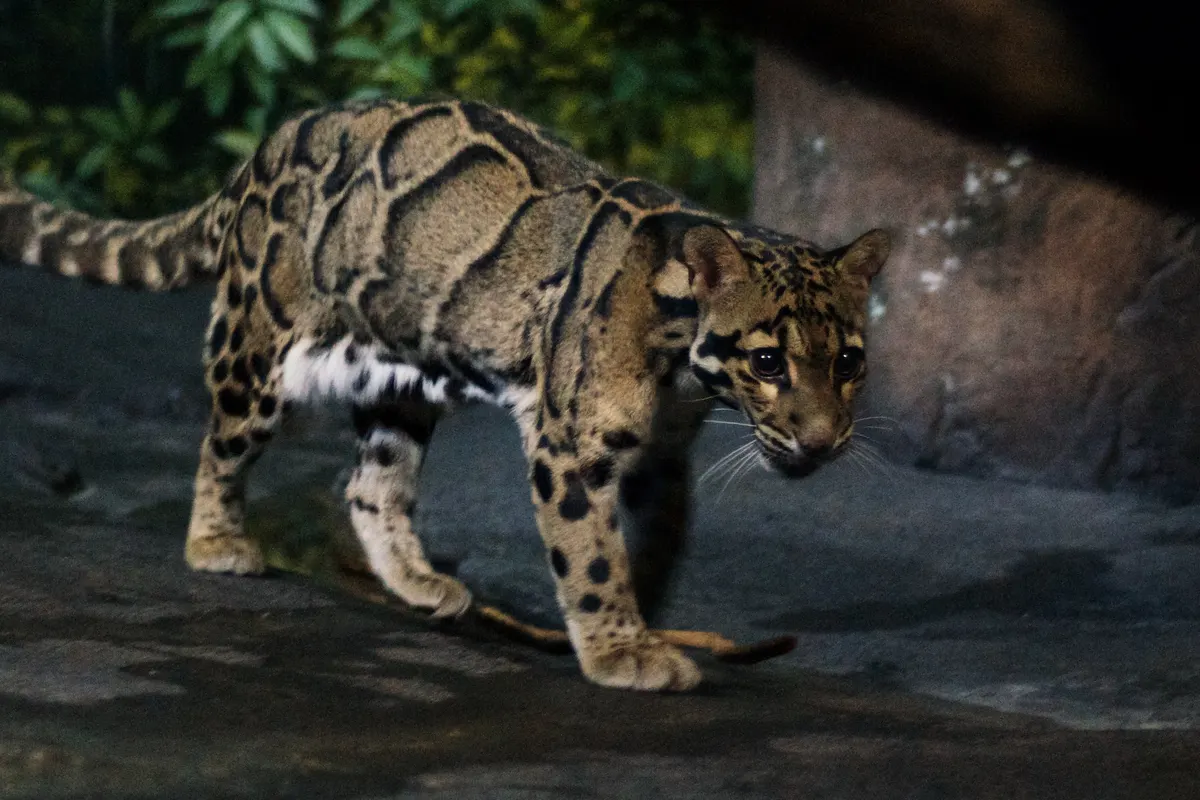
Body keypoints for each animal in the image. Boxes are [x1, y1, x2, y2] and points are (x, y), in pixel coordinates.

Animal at [0, 98, 889, 691]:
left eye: (849, 361)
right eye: (768, 361)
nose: (821, 441)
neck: (679, 363)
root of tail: (269, 145)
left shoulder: (660, 456)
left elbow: (654, 542)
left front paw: (641, 618)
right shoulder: (571, 446)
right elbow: (590, 550)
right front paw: (617, 645)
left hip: (395, 378)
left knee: (369, 485)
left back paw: (417, 579)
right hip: (260, 343)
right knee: (221, 443)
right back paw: (216, 541)